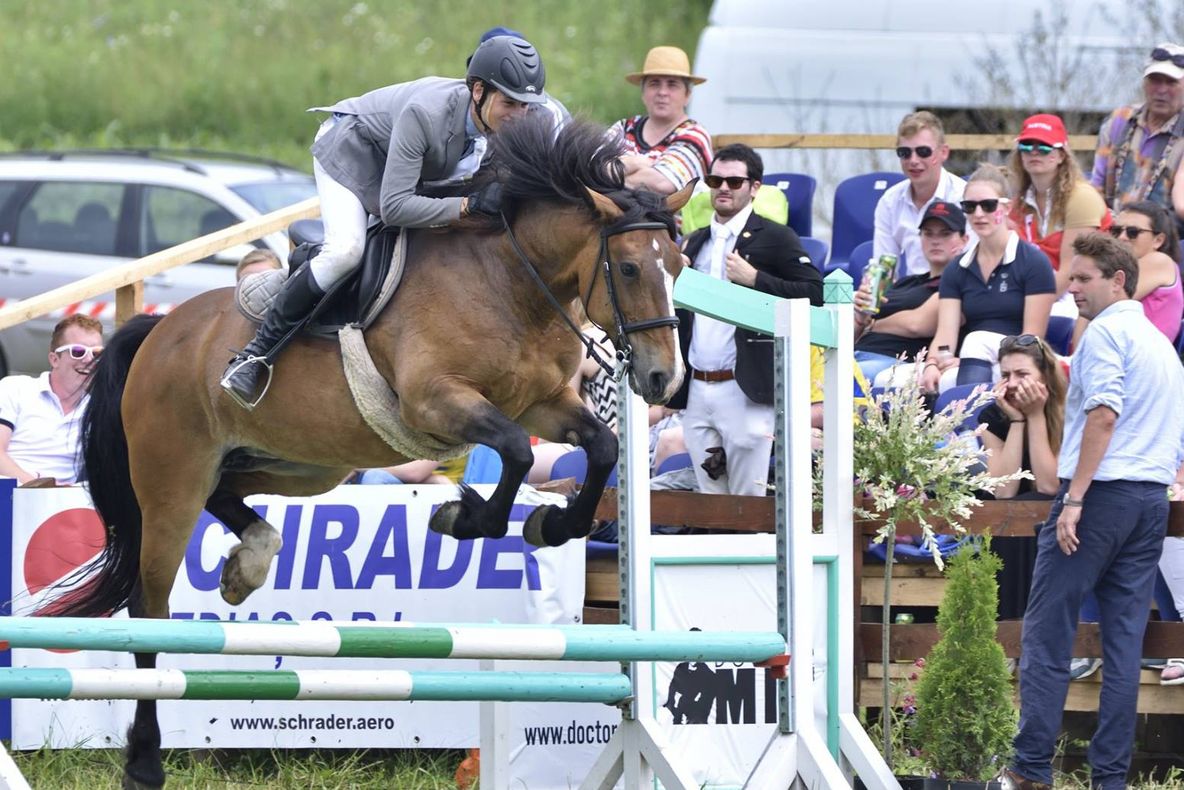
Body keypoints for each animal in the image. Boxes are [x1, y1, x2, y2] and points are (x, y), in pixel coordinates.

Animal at [51, 115, 690, 789]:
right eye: (628, 269)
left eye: (677, 264)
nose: (663, 380)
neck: (514, 282)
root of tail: (159, 331)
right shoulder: (437, 401)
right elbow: (517, 453)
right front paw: (464, 517)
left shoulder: (541, 403)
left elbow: (602, 446)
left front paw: (551, 523)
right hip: (172, 479)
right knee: (149, 606)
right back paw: (145, 761)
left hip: (301, 465)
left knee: (231, 497)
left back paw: (247, 564)